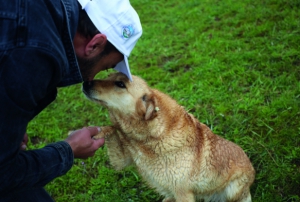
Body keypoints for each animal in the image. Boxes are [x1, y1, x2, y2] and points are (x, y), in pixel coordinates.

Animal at [82, 73, 255, 202]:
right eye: (108, 76)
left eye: (120, 84)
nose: (85, 83)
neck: (148, 139)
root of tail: (253, 169)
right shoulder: (121, 160)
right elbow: (111, 129)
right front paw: (93, 134)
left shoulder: (183, 192)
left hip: (233, 191)